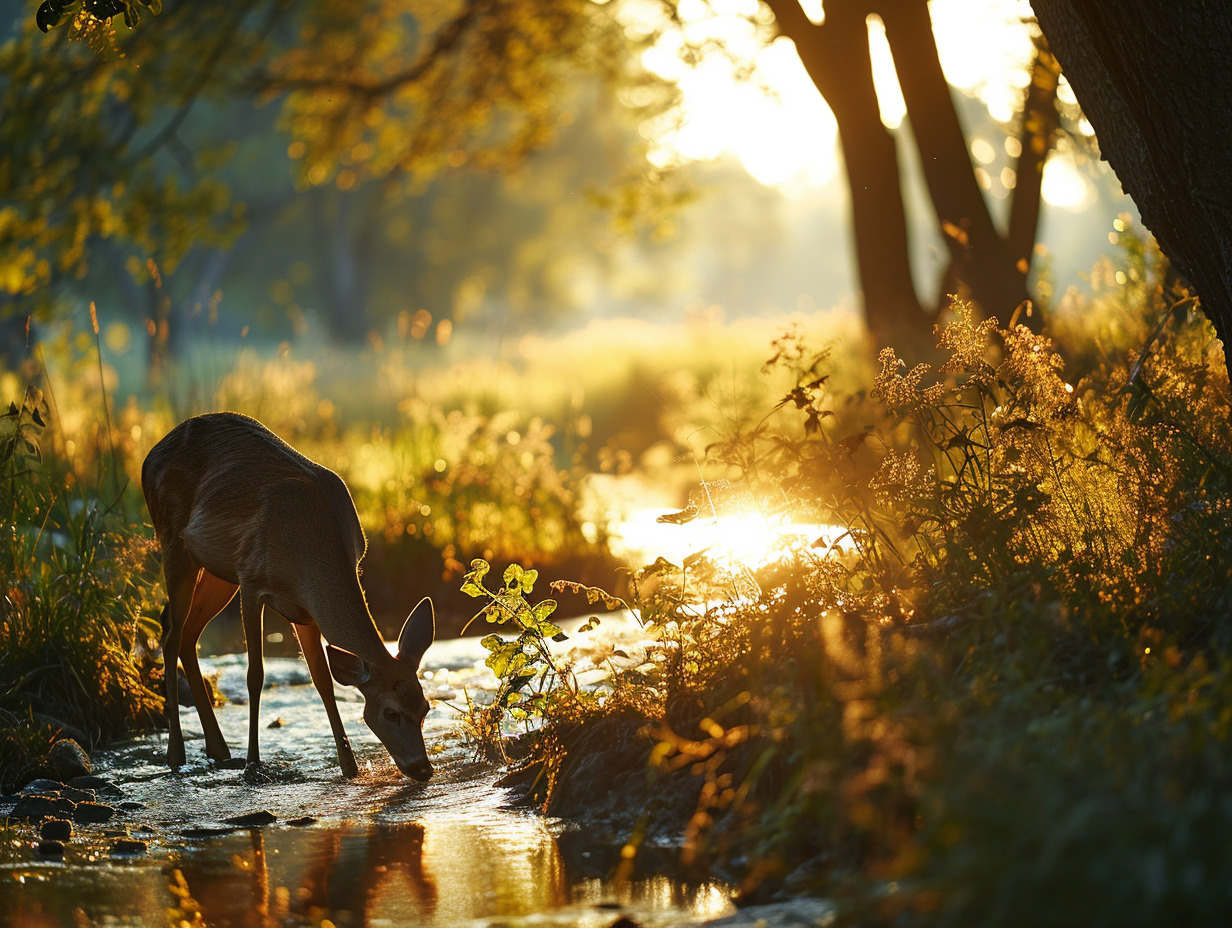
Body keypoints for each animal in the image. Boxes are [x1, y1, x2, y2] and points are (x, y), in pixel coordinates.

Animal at [142, 409, 438, 778]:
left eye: (426, 707)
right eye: (391, 711)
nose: (422, 768)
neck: (307, 551)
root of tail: (149, 456)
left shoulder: (304, 609)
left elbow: (322, 680)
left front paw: (349, 768)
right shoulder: (252, 581)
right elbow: (255, 675)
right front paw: (254, 763)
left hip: (217, 570)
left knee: (188, 634)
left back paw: (219, 749)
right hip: (172, 540)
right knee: (170, 634)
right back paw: (177, 754)